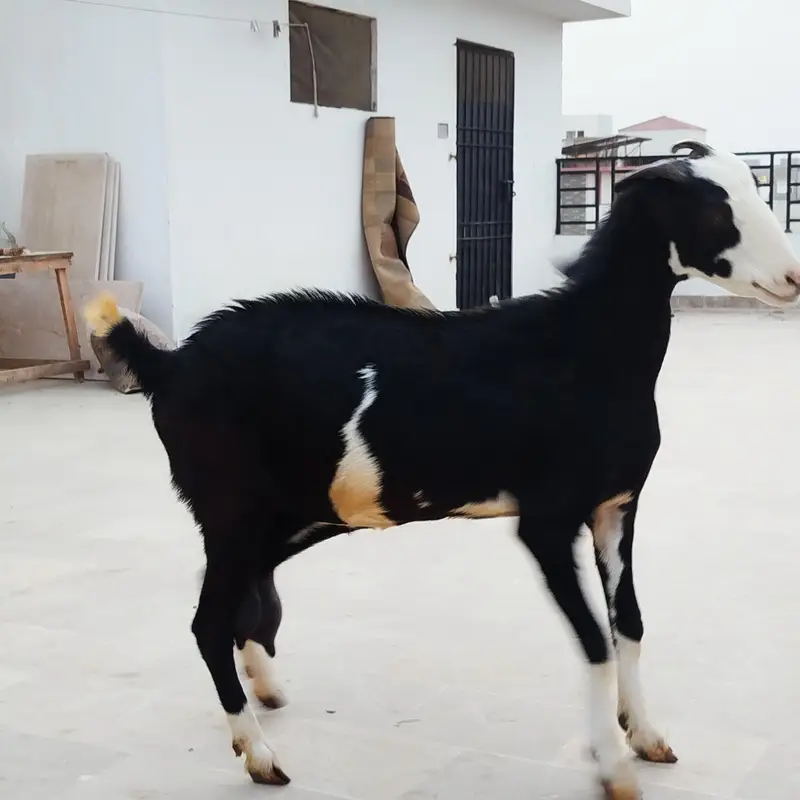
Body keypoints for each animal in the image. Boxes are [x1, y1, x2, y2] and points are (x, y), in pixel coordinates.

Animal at [84, 141, 800, 799]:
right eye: (716, 210)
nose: (793, 278)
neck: (582, 349)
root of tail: (170, 365)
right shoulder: (548, 519)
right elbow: (596, 639)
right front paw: (612, 766)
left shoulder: (616, 508)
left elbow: (630, 625)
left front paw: (647, 735)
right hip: (234, 506)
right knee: (207, 621)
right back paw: (260, 756)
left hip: (290, 513)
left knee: (235, 592)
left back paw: (264, 686)